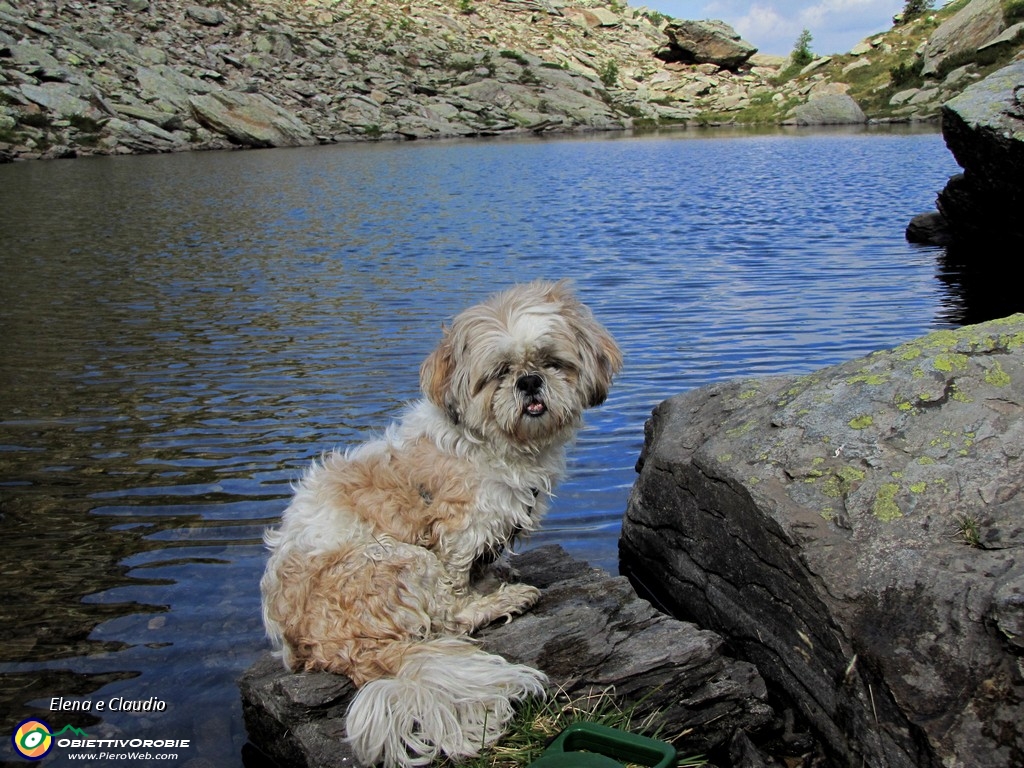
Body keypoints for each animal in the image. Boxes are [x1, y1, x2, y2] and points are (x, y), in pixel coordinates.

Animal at [260, 282, 618, 768]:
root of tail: (337, 650)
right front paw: (487, 592)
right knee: (449, 620)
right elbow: (457, 586)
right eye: (500, 372)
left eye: (550, 362)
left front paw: (494, 575)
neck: (497, 444)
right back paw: (506, 601)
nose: (528, 381)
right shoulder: (459, 531)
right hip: (399, 559)